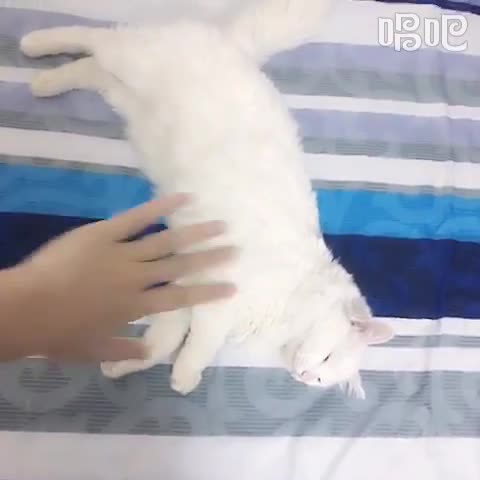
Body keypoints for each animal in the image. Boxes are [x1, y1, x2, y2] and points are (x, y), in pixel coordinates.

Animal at [20, 0, 394, 398]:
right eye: (326, 359)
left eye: (323, 379)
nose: (304, 376)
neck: (293, 302)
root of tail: (237, 47)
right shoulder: (219, 299)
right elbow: (202, 343)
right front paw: (185, 377)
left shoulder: (187, 291)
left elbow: (160, 343)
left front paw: (122, 365)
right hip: (136, 59)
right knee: (94, 37)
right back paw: (36, 45)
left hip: (127, 98)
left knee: (92, 69)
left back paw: (45, 83)